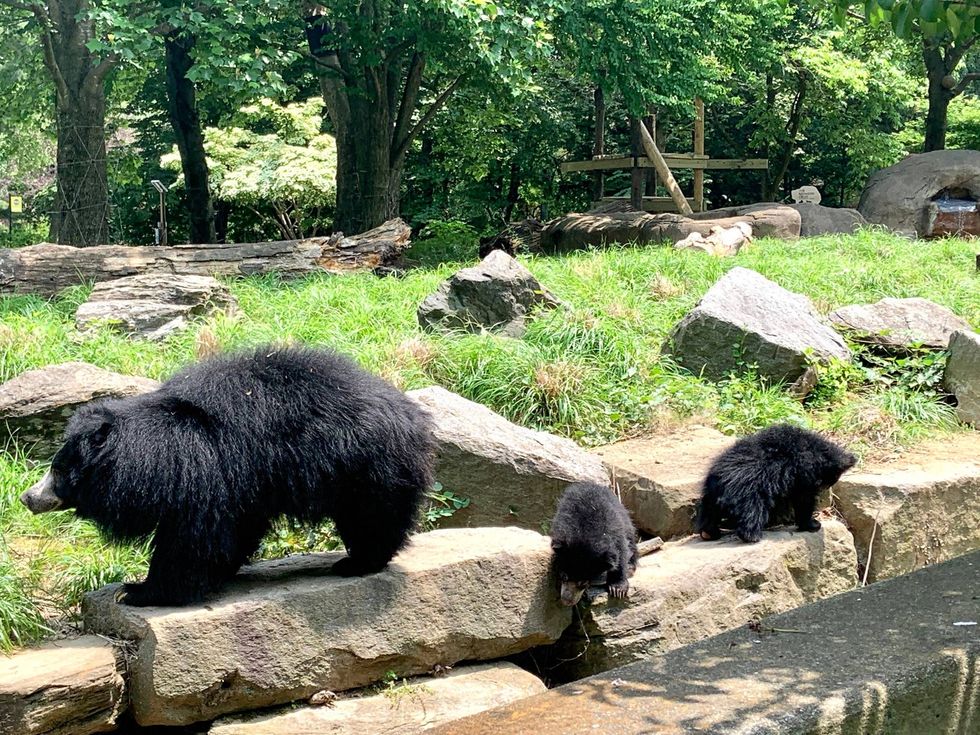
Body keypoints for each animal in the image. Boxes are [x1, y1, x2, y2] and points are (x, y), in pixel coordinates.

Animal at [19, 345, 434, 607]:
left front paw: (138, 592)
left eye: (58, 470)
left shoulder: (203, 474)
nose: (27, 497)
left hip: (364, 467)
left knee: (371, 519)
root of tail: (411, 413)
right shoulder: (240, 486)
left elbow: (190, 541)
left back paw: (357, 563)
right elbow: (233, 530)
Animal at [695, 423, 856, 544]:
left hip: (712, 495)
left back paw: (709, 533)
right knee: (752, 511)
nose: (826, 489)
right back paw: (752, 536)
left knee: (710, 511)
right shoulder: (802, 473)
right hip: (749, 491)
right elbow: (804, 499)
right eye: (829, 480)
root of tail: (719, 478)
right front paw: (813, 524)